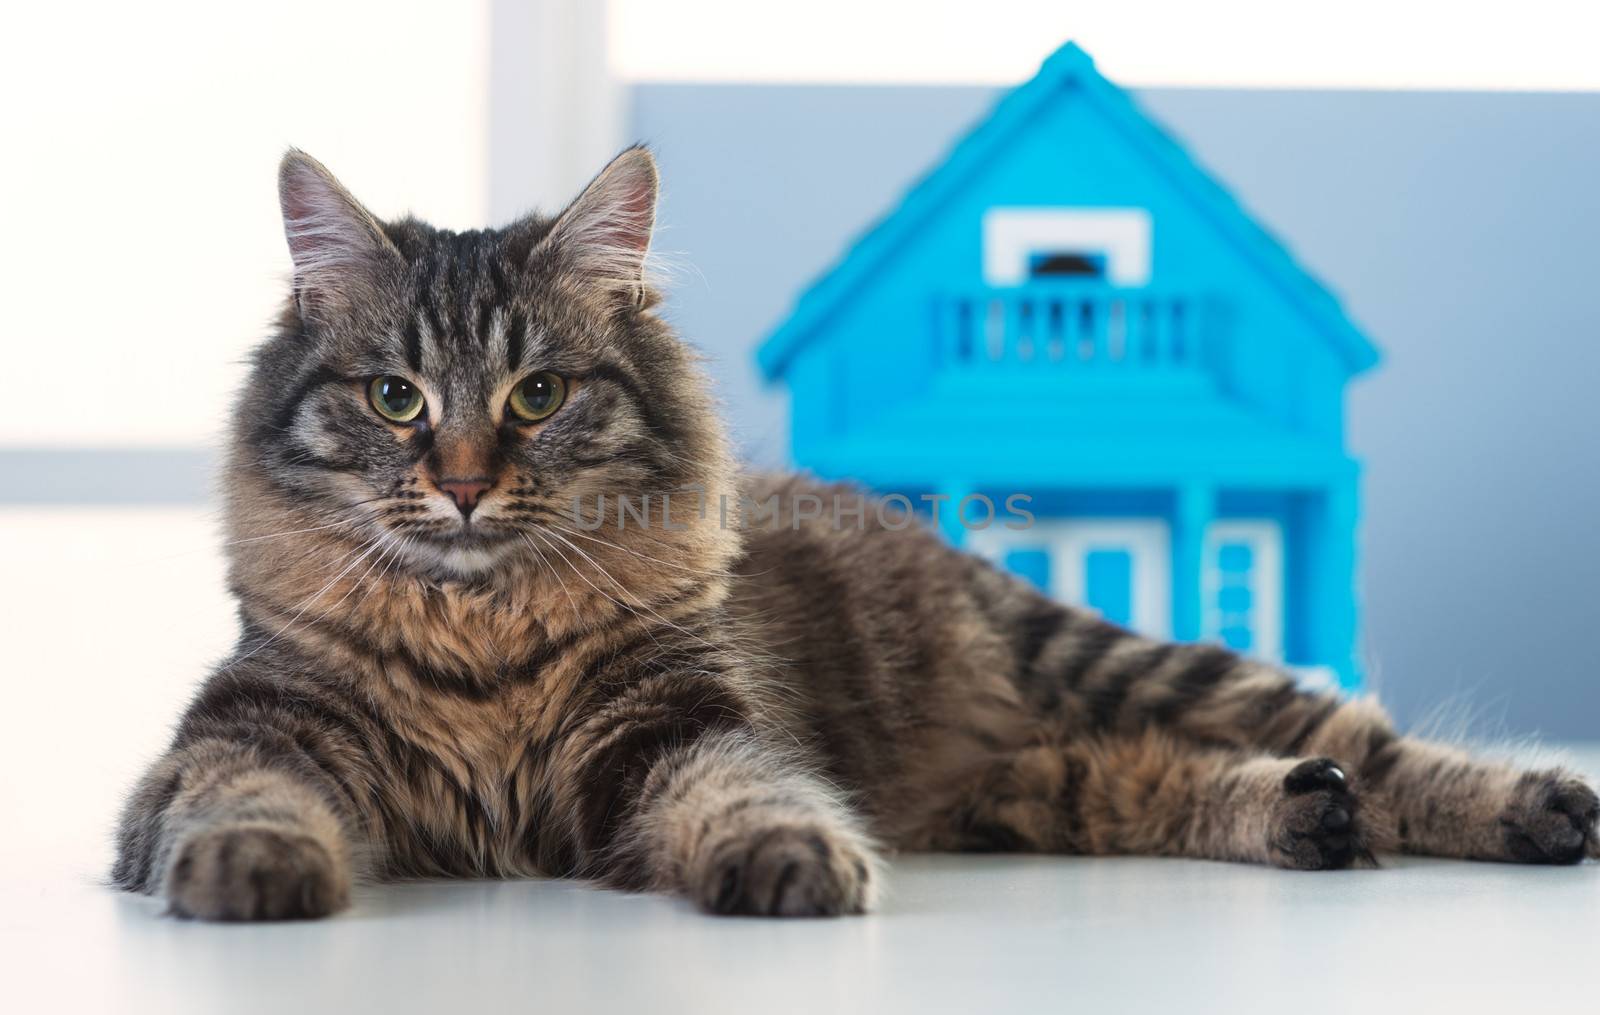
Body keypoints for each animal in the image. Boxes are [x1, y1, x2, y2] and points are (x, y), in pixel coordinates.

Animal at [116, 148, 1600, 915]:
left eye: (537, 395)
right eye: (396, 397)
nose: (469, 482)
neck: (479, 635)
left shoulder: (674, 735)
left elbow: (751, 792)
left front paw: (793, 865)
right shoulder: (244, 736)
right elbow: (242, 797)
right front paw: (254, 873)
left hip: (1109, 661)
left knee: (1367, 738)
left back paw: (1532, 806)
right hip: (1034, 788)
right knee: (1175, 776)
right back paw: (1304, 819)